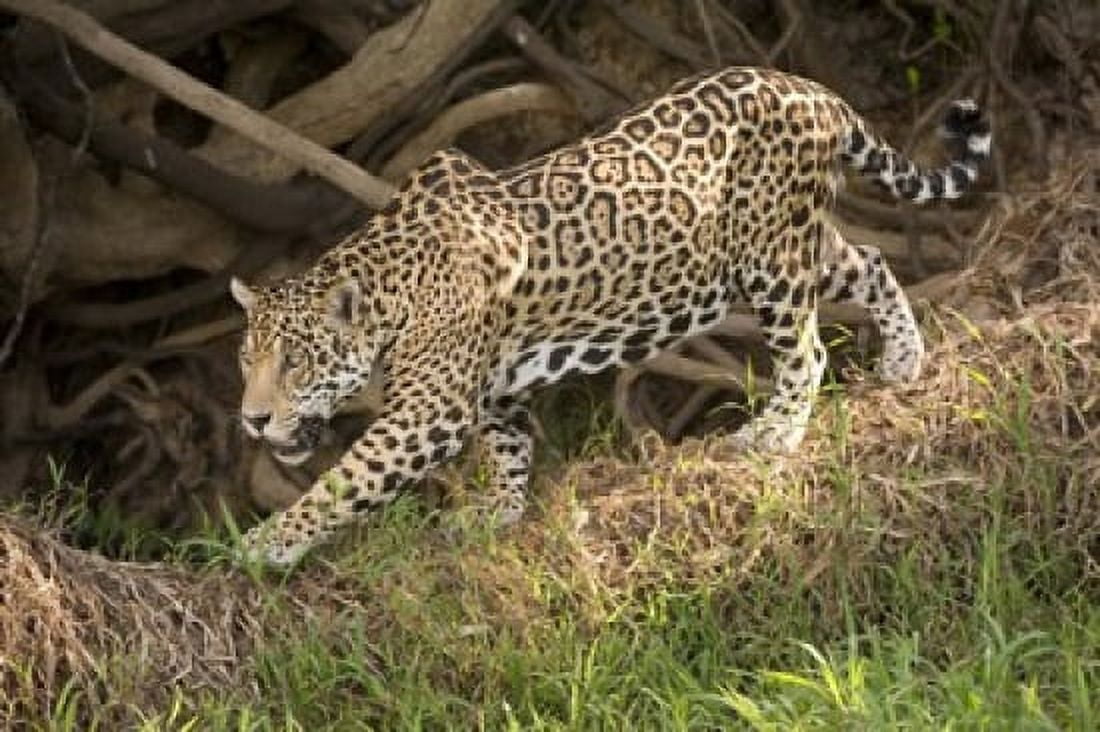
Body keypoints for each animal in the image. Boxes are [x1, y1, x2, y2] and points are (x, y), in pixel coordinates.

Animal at [230, 66, 990, 565]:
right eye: (246, 362)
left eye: (295, 363)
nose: (253, 420)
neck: (392, 287)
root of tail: (806, 86)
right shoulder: (491, 390)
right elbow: (509, 447)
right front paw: (499, 513)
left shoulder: (426, 412)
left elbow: (343, 482)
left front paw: (267, 545)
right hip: (788, 248)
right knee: (871, 259)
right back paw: (903, 358)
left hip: (769, 261)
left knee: (807, 349)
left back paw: (775, 433)